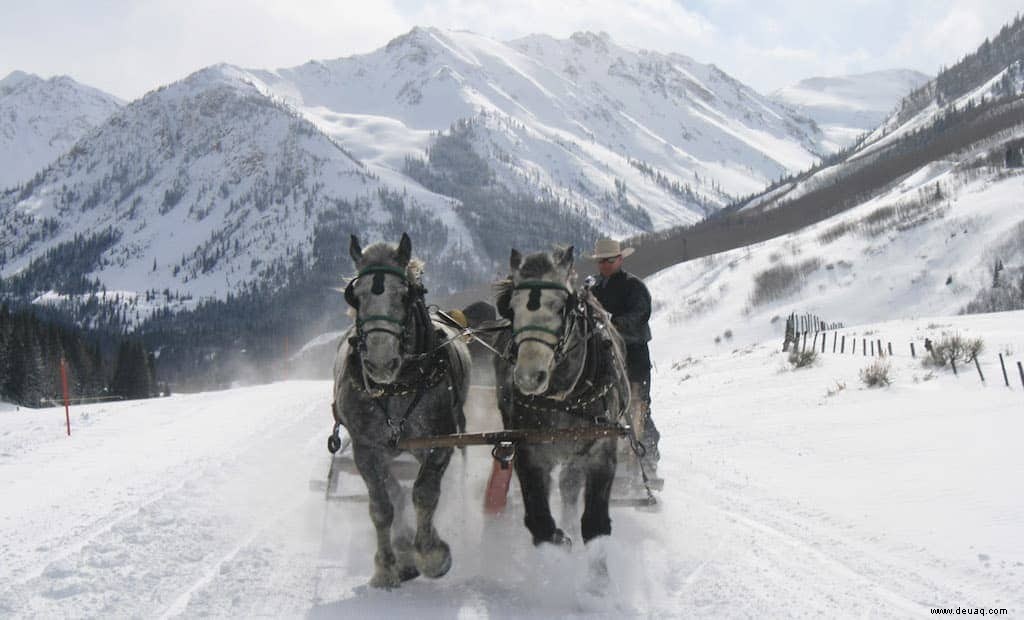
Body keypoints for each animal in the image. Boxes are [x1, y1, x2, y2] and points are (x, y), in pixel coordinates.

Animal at [333, 233, 468, 590]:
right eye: (357, 295)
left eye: (405, 295)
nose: (380, 362)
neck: (397, 386)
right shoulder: (366, 449)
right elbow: (383, 505)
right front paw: (387, 566)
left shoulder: (439, 442)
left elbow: (425, 493)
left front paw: (432, 555)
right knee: (395, 490)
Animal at [491, 244, 626, 545]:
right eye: (511, 308)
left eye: (561, 306)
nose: (529, 377)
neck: (564, 400)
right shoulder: (529, 453)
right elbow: (541, 525)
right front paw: (561, 542)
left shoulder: (600, 451)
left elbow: (595, 525)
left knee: (569, 486)